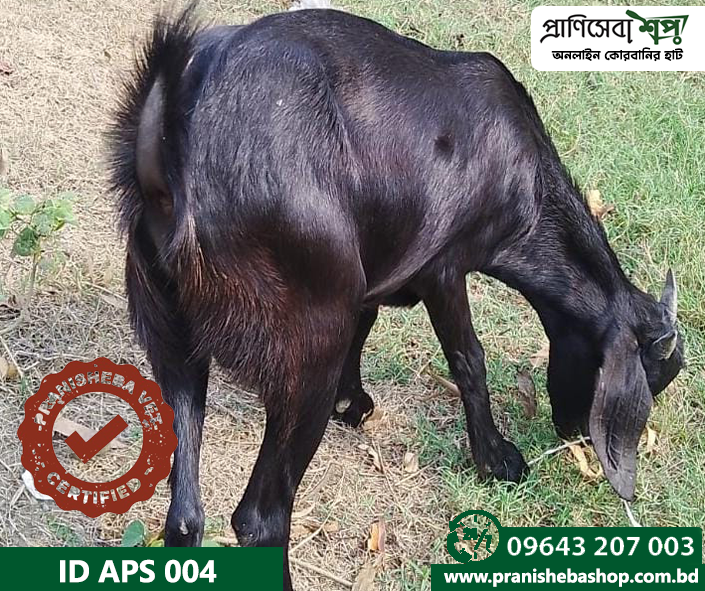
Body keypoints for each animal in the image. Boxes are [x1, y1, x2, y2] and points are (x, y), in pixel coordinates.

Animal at [108, 6, 684, 588]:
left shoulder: (372, 272)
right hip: (307, 347)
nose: (576, 435)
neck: (527, 182)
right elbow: (468, 359)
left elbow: (366, 324)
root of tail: (179, 163)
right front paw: (496, 459)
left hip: (172, 334)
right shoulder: (444, 269)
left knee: (185, 517)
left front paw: (354, 402)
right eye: (651, 378)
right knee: (260, 518)